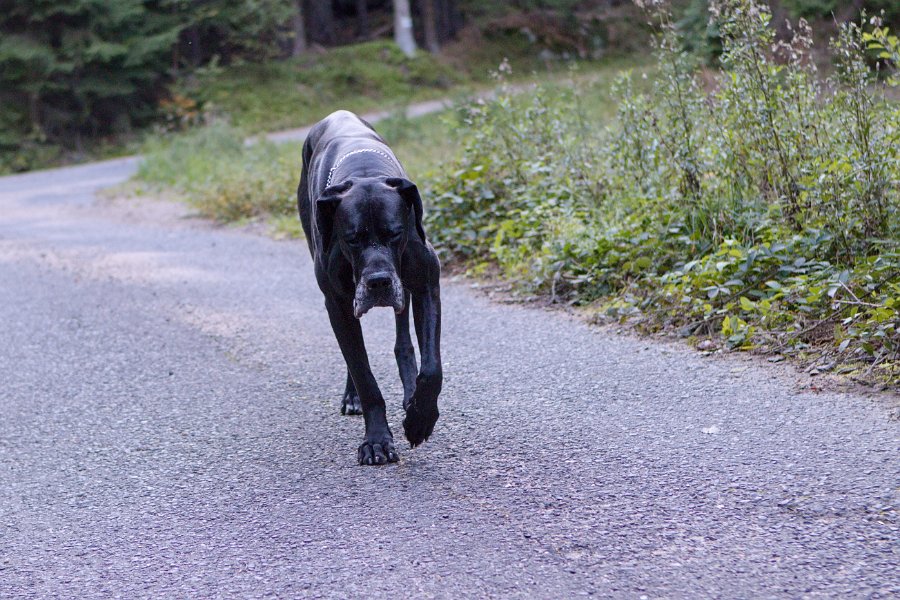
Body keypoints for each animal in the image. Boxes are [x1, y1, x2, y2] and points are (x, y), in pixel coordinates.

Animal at [298, 110, 442, 466]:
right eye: (352, 238)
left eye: (395, 233)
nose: (378, 282)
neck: (364, 172)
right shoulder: (337, 303)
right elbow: (364, 376)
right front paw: (377, 440)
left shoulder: (427, 285)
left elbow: (432, 369)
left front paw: (420, 419)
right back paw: (353, 397)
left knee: (403, 340)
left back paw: (410, 395)